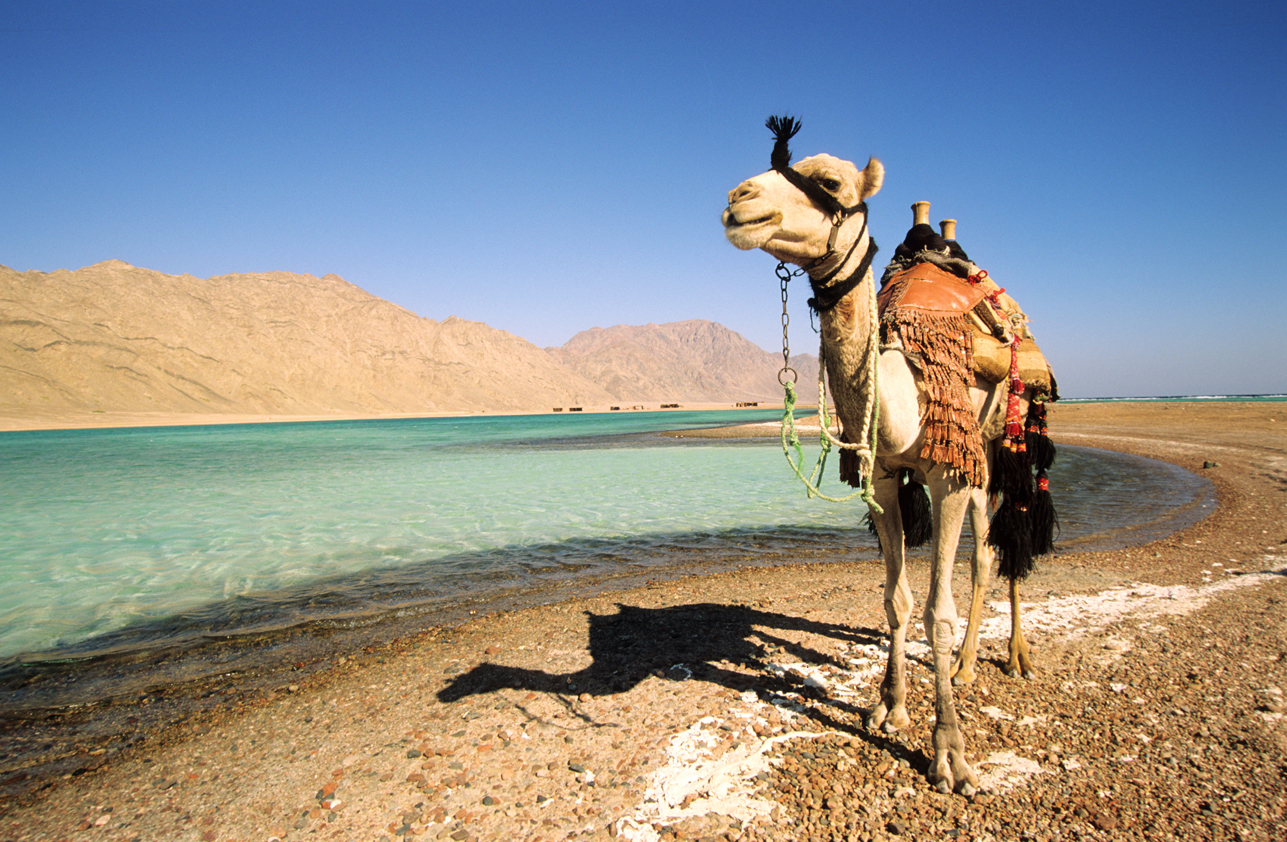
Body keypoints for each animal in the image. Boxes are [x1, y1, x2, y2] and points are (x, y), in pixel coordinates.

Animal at [725, 118, 1055, 798]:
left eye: (830, 182)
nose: (738, 199)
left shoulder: (949, 472)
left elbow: (937, 612)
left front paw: (950, 754)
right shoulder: (881, 477)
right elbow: (897, 600)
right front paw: (890, 706)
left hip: (1001, 443)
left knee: (998, 543)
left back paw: (1007, 657)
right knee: (984, 550)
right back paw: (965, 666)